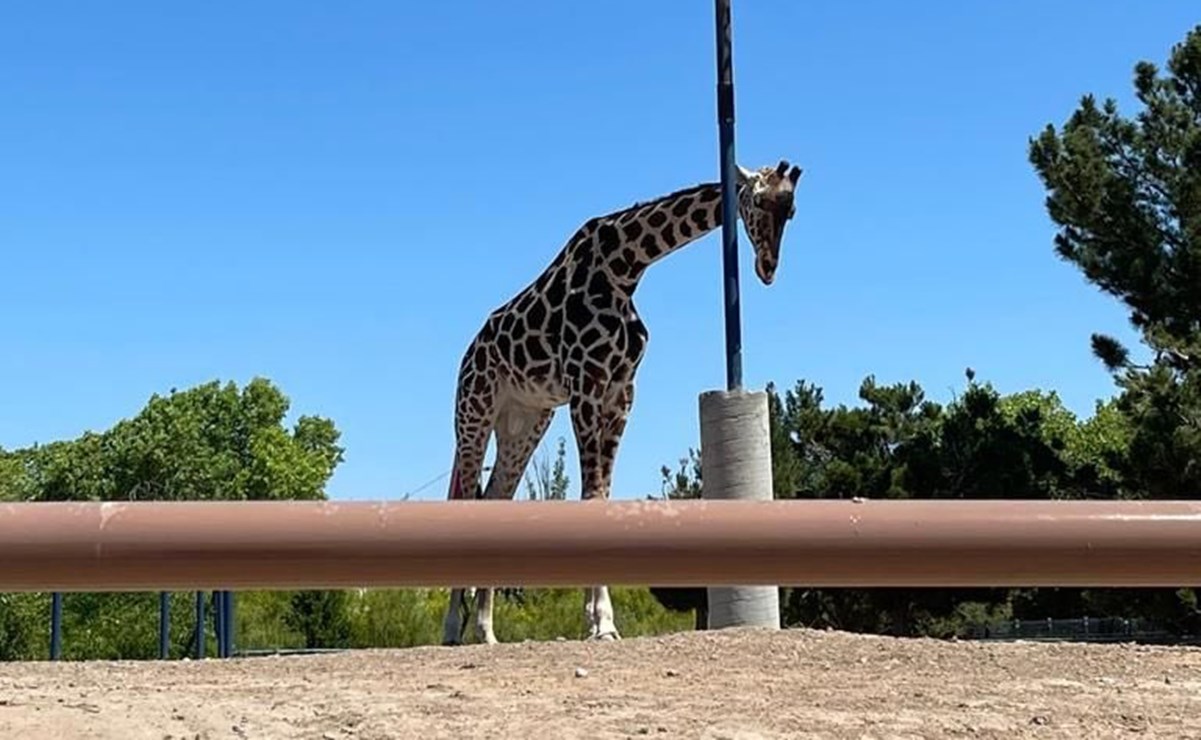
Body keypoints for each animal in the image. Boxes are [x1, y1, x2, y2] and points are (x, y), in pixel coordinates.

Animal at [439, 158, 797, 643]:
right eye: (758, 202)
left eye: (791, 210)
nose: (767, 268)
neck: (626, 266)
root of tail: (469, 353)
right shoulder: (586, 387)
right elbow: (590, 498)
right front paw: (600, 623)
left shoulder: (621, 393)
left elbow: (602, 498)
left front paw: (600, 621)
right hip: (473, 411)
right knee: (463, 498)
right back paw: (451, 630)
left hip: (525, 421)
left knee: (495, 500)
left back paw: (486, 632)